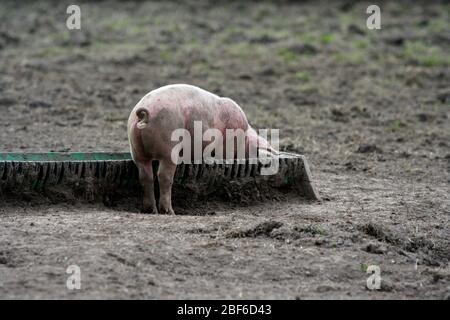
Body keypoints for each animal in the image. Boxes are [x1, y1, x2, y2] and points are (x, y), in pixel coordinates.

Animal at [125, 84, 274, 215]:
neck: (246, 136)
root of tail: (144, 115)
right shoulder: (230, 142)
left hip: (136, 149)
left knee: (145, 176)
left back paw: (151, 210)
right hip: (168, 145)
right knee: (163, 176)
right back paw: (170, 212)